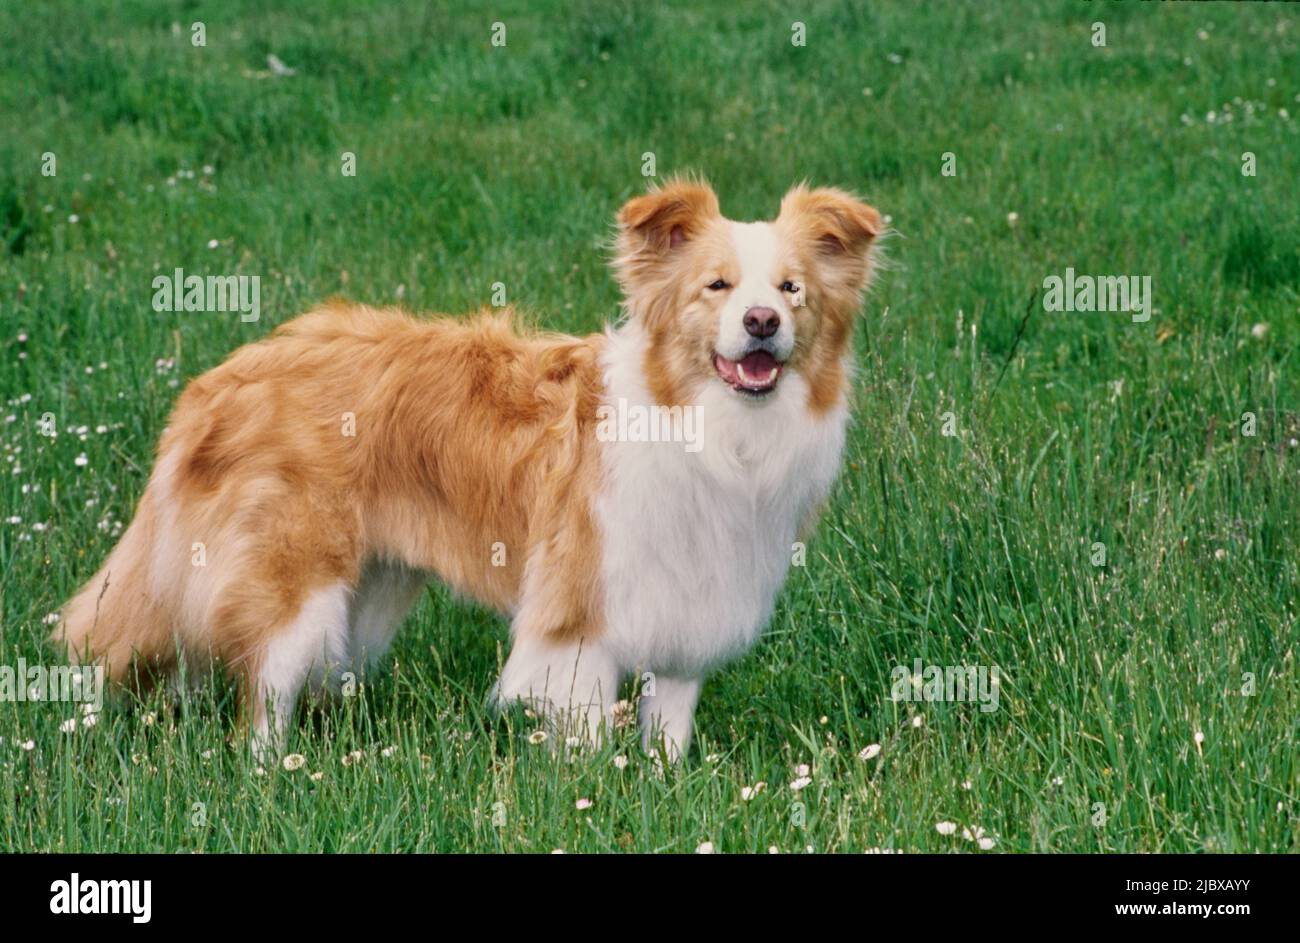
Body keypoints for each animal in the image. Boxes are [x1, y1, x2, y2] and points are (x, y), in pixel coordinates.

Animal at [53, 178, 883, 759]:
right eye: (717, 286)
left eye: (792, 289)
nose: (762, 324)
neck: (712, 429)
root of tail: (216, 381)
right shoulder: (576, 618)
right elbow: (587, 735)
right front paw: (595, 796)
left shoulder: (687, 602)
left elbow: (669, 727)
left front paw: (663, 786)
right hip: (294, 582)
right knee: (264, 694)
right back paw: (269, 773)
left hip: (371, 586)